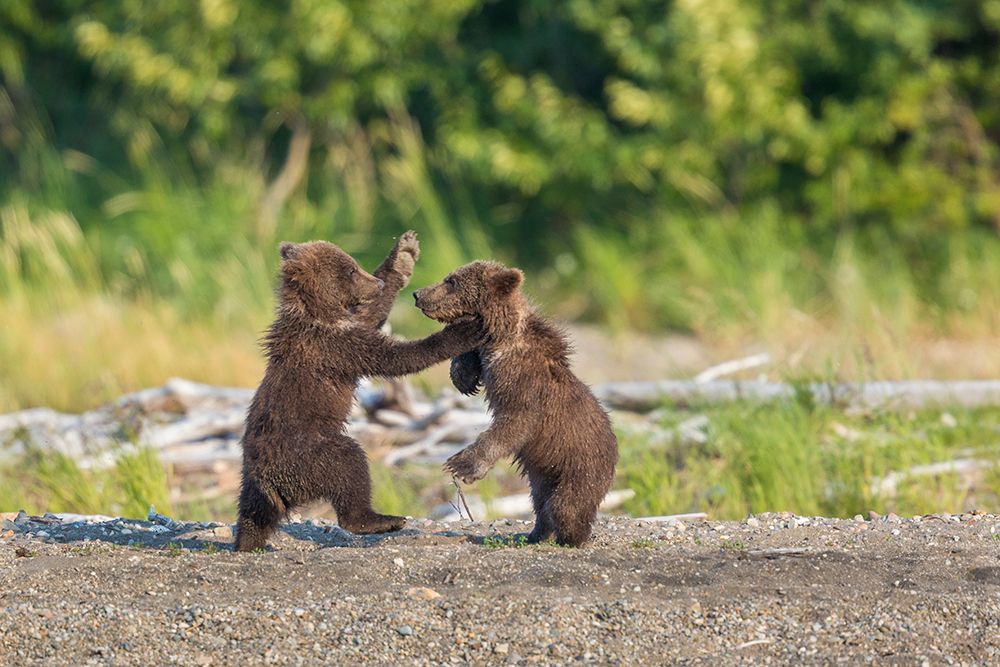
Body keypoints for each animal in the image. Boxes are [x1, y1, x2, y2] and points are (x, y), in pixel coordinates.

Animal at [234, 233, 482, 552]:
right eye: (351, 270)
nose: (375, 284)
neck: (316, 311)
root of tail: (268, 477)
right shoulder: (334, 347)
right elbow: (395, 357)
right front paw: (462, 331)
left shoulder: (345, 327)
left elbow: (369, 315)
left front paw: (403, 256)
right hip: (310, 452)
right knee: (349, 465)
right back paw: (381, 519)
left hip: (252, 481)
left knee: (253, 513)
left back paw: (246, 542)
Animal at [413, 261, 618, 546]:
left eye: (451, 281)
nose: (418, 293)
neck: (502, 339)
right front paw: (463, 375)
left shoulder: (526, 388)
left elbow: (514, 424)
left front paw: (462, 464)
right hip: (544, 472)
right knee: (540, 501)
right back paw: (536, 533)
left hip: (581, 465)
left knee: (566, 505)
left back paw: (570, 537)